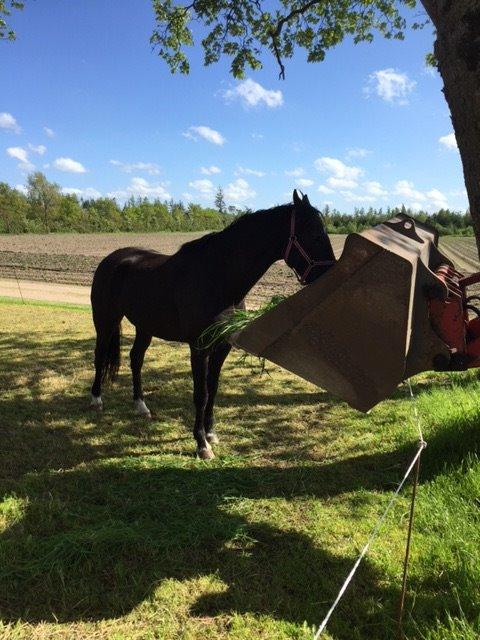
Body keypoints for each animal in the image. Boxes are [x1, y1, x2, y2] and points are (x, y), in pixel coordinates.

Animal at [92, 190, 336, 460]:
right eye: (315, 234)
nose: (331, 275)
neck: (219, 278)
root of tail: (112, 259)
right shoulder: (199, 347)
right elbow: (201, 393)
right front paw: (201, 444)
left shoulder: (222, 346)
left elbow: (214, 387)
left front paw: (210, 433)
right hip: (105, 320)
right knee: (100, 356)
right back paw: (96, 400)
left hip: (144, 326)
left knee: (136, 359)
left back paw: (141, 406)